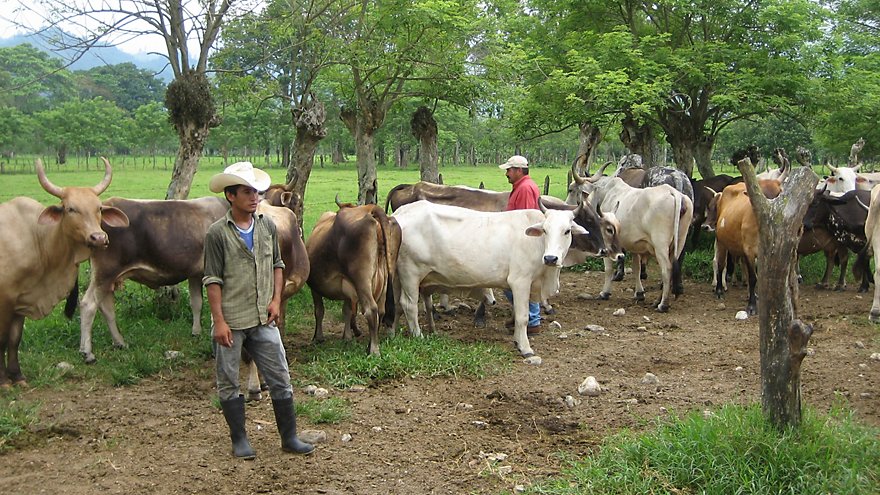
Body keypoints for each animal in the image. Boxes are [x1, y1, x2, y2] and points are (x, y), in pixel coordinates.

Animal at [0, 159, 129, 388]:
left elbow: (14, 339)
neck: (37, 239)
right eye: (70, 209)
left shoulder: (20, 299)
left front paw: (17, 377)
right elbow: (1, 340)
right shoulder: (4, 299)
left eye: (99, 208)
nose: (99, 238)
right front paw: (4, 381)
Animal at [302, 200, 398, 354]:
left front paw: (318, 337)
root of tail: (370, 209)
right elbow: (346, 311)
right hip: (387, 277)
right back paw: (370, 344)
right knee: (381, 310)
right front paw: (347, 337)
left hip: (361, 278)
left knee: (371, 309)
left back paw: (374, 350)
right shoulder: (346, 287)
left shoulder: (314, 287)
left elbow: (319, 311)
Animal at [390, 202, 584, 356]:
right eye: (545, 230)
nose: (551, 258)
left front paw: (517, 340)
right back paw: (418, 336)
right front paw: (525, 348)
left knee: (397, 305)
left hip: (399, 277)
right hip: (410, 273)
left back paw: (392, 331)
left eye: (567, 231)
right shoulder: (520, 281)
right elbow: (522, 316)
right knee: (409, 305)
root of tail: (399, 213)